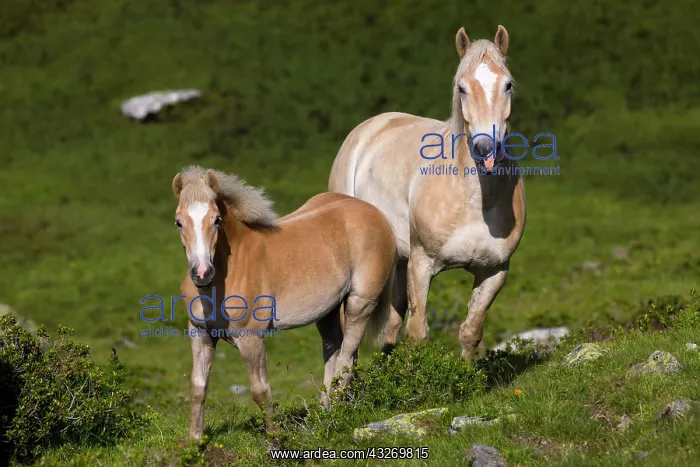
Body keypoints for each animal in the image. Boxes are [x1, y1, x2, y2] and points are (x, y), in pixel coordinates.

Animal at [171, 165, 400, 439]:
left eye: (216, 219)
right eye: (178, 222)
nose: (202, 273)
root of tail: (376, 213)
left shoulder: (250, 339)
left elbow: (261, 390)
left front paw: (275, 439)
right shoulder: (200, 333)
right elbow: (198, 387)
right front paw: (194, 441)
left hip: (360, 304)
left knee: (346, 359)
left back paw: (336, 414)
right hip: (328, 311)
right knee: (335, 353)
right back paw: (324, 413)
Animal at [328, 25, 526, 361]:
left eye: (508, 84)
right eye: (462, 88)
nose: (485, 148)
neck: (475, 202)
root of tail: (372, 125)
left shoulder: (495, 270)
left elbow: (471, 331)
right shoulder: (421, 264)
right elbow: (418, 333)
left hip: (398, 261)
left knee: (390, 328)